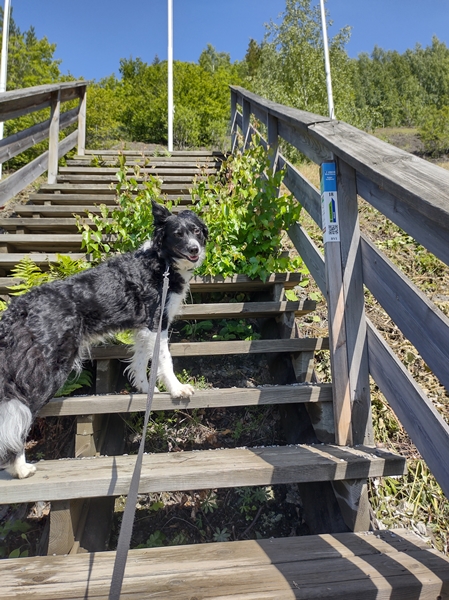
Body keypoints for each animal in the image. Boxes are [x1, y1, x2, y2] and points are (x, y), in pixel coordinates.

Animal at [0, 202, 206, 478]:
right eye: (178, 234)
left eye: (196, 230)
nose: (195, 248)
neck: (162, 262)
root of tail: (19, 306)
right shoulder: (157, 323)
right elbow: (164, 361)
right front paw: (176, 388)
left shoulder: (144, 327)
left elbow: (140, 360)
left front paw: (143, 388)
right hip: (49, 370)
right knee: (22, 416)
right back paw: (20, 467)